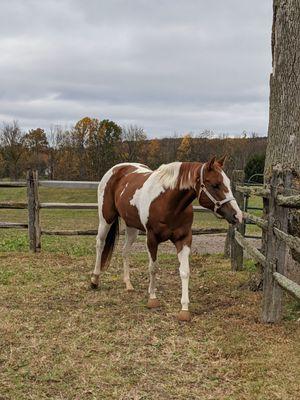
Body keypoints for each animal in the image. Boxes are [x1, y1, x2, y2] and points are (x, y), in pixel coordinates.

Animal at [90, 156, 243, 322]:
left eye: (228, 183)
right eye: (215, 185)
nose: (238, 216)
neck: (167, 202)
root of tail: (117, 168)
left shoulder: (184, 239)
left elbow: (184, 271)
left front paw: (184, 309)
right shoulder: (151, 238)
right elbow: (153, 268)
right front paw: (152, 298)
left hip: (132, 226)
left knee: (125, 251)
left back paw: (128, 284)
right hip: (106, 218)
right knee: (100, 244)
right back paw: (95, 280)